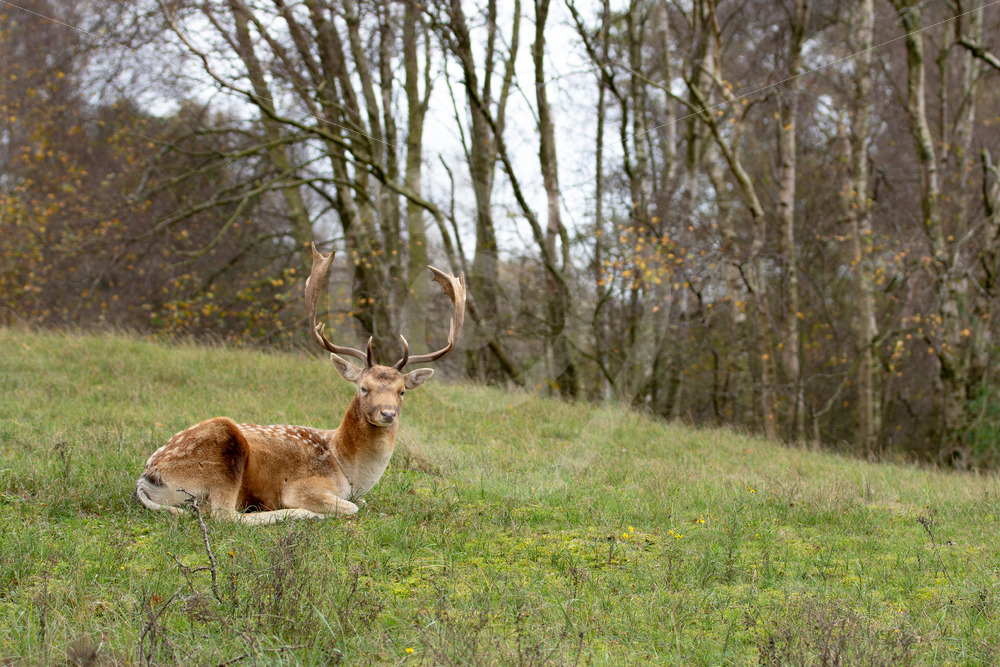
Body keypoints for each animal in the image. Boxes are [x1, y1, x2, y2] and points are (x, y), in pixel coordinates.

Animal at [135, 244, 466, 524]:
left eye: (402, 392)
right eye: (363, 388)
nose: (387, 414)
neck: (346, 469)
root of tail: (147, 477)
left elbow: (363, 503)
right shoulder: (304, 487)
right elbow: (353, 507)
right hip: (223, 452)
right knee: (223, 515)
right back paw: (298, 515)